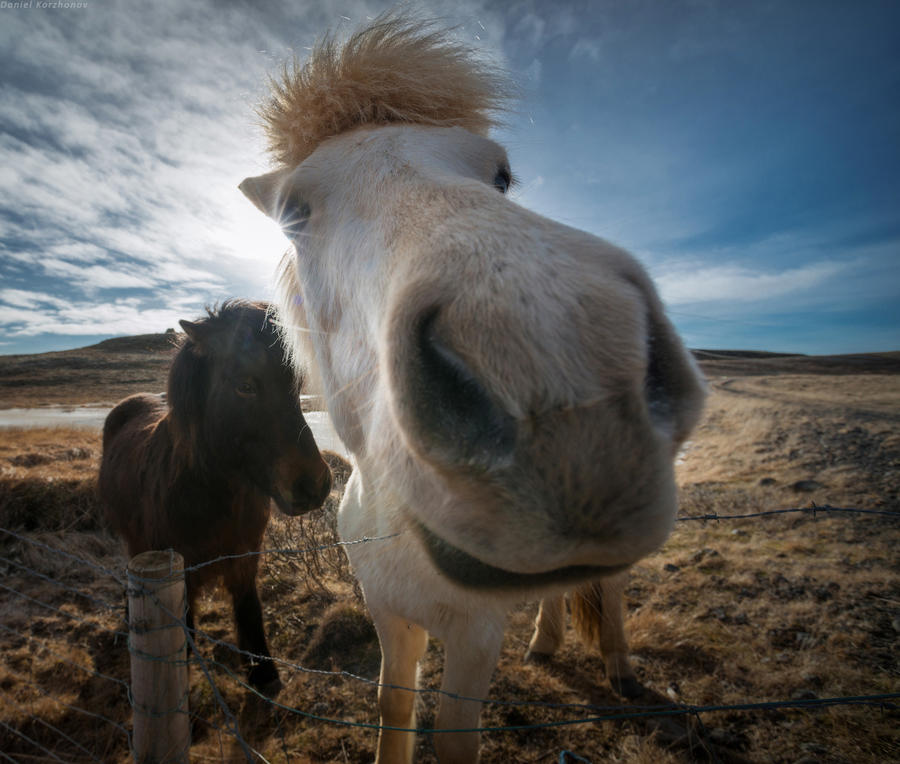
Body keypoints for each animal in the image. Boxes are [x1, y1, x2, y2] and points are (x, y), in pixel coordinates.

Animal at [99, 302, 330, 696]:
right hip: (134, 542)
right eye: (245, 386)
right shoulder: (179, 572)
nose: (314, 486)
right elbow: (184, 628)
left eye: (296, 386)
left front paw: (264, 673)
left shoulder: (245, 557)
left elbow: (249, 610)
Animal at [243, 13, 708, 764]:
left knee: (608, 588)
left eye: (502, 175)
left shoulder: (473, 635)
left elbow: (455, 735)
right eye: (295, 212)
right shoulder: (389, 614)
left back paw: (618, 667)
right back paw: (546, 644)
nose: (558, 367)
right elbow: (392, 706)